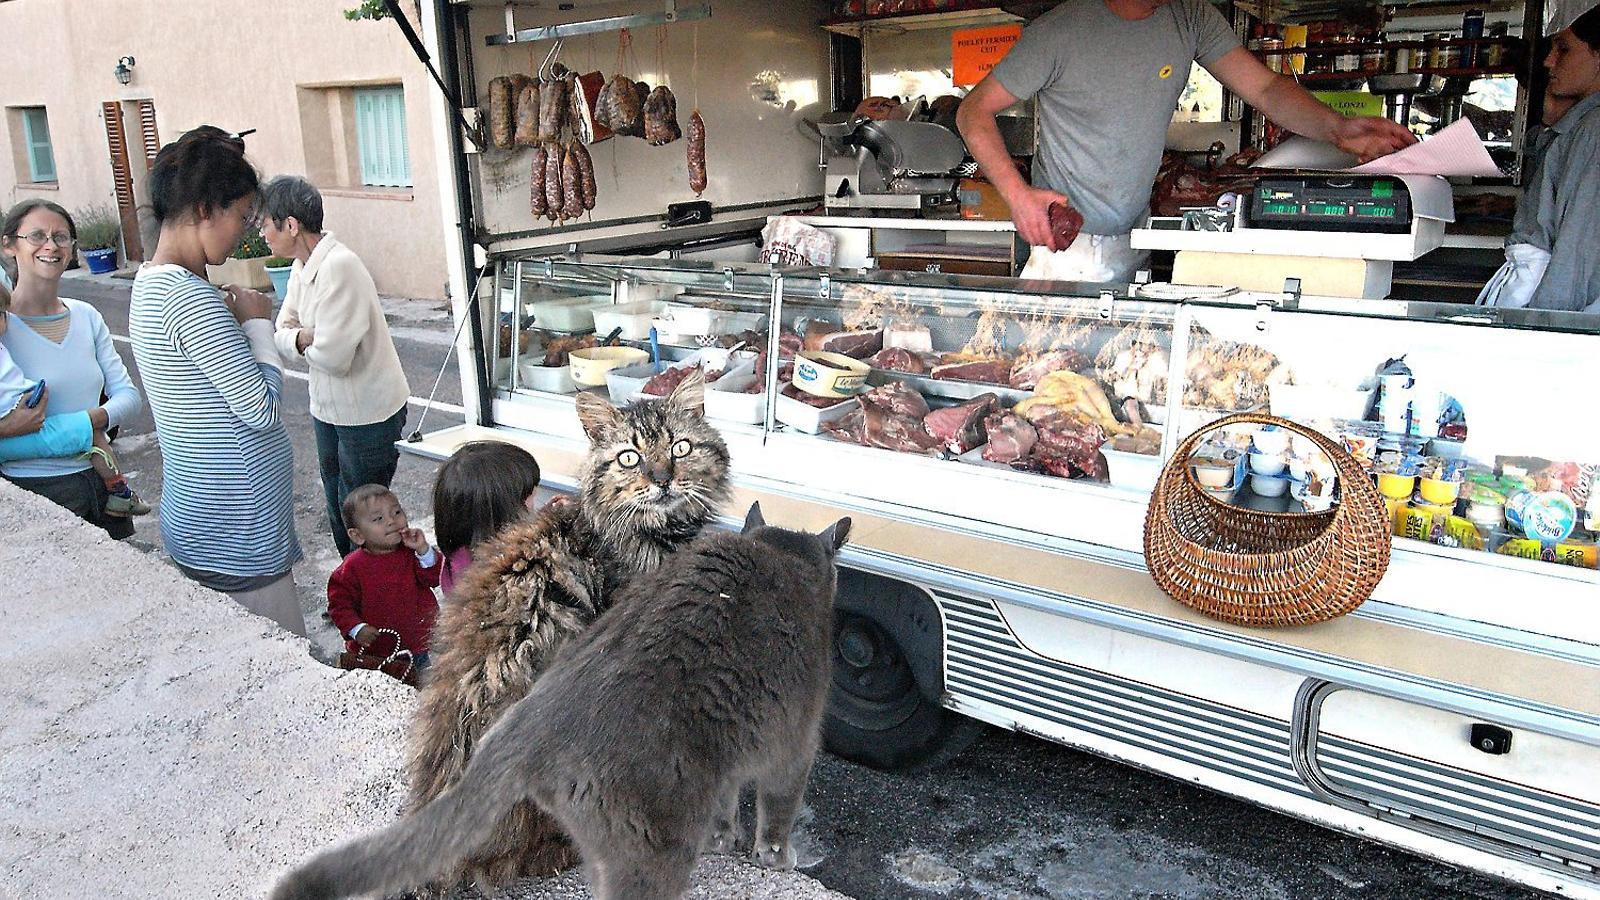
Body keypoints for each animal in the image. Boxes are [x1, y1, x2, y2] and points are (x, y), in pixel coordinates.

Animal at [273, 506, 851, 896]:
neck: (781, 555)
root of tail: (523, 730)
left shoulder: (730, 755)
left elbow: (727, 808)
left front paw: (725, 840)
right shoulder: (796, 743)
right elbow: (778, 809)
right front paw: (775, 856)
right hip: (651, 842)